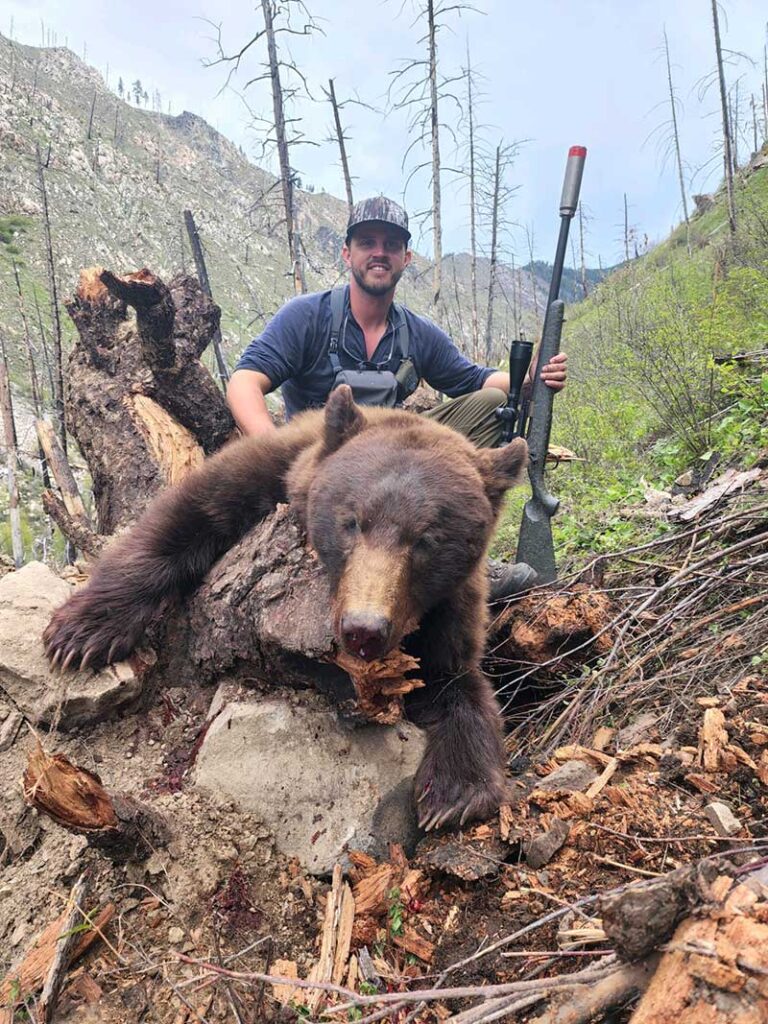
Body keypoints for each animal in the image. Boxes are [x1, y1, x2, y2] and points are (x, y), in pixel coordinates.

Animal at [44, 386, 528, 831]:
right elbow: (184, 516)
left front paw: (454, 792)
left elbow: (455, 680)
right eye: (352, 521)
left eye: (427, 539)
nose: (364, 629)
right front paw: (81, 634)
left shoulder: (449, 609)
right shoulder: (270, 467)